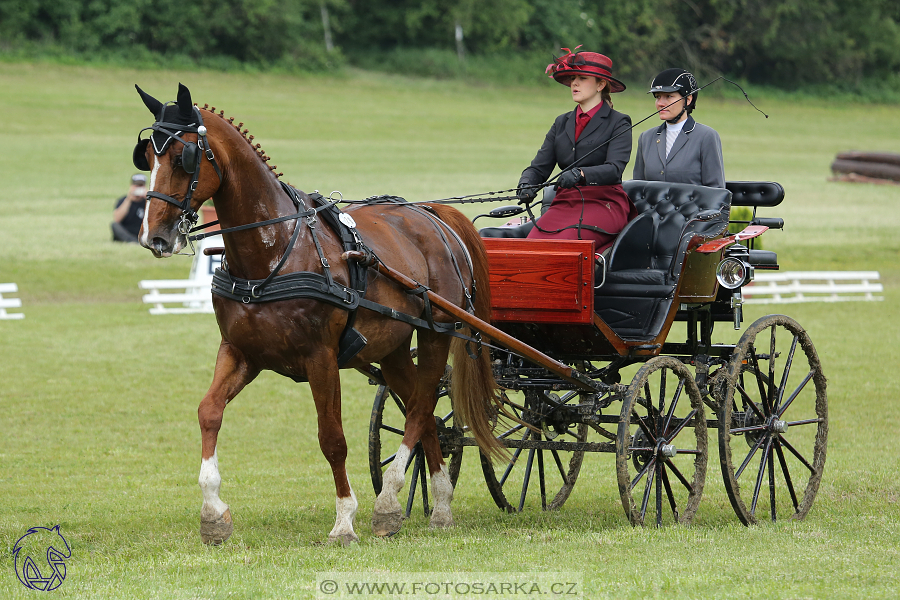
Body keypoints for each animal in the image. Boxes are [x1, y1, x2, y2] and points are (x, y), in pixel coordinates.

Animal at [132, 85, 506, 548]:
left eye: (183, 157)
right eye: (146, 157)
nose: (154, 236)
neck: (274, 250)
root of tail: (433, 215)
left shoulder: (321, 358)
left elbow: (332, 439)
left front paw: (344, 521)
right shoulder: (241, 352)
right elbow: (209, 412)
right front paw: (213, 513)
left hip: (436, 333)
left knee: (420, 408)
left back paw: (389, 501)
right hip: (395, 347)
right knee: (426, 414)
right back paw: (438, 505)